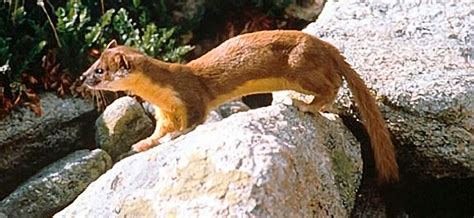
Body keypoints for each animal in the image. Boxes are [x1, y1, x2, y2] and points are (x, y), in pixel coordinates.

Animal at [82, 29, 400, 182]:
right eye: (93, 64)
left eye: (100, 71)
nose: (83, 78)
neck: (162, 95)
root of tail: (326, 45)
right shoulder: (165, 112)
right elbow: (159, 130)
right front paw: (142, 143)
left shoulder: (190, 98)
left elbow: (192, 122)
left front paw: (173, 136)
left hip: (301, 68)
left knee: (332, 85)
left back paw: (306, 105)